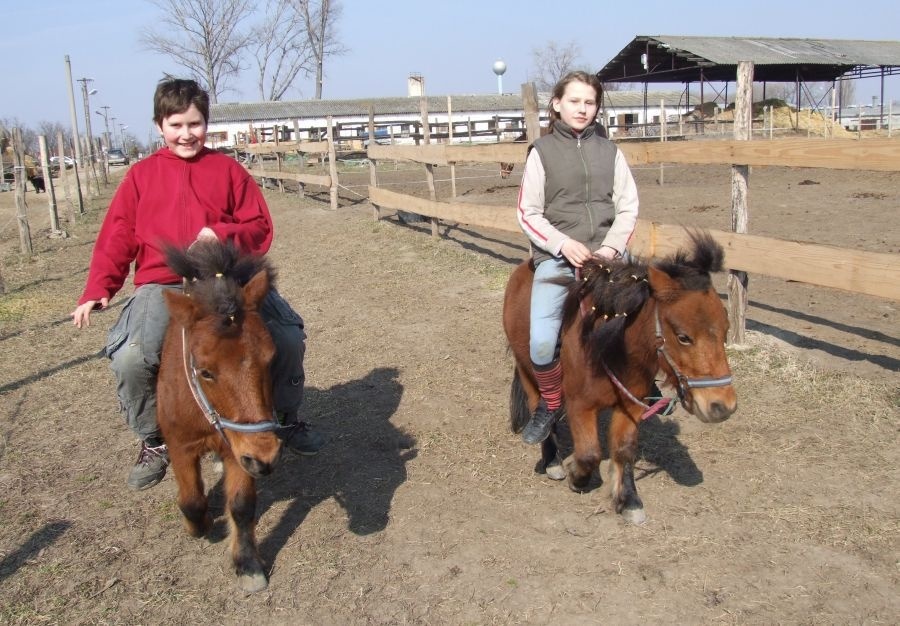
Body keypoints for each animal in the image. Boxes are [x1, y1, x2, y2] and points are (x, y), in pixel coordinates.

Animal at [158, 238, 284, 588]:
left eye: (272, 359)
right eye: (205, 371)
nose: (266, 457)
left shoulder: (239, 449)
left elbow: (241, 506)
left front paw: (248, 564)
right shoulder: (181, 446)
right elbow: (191, 501)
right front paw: (198, 527)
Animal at [502, 229, 736, 520]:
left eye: (726, 330)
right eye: (683, 337)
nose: (722, 406)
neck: (605, 346)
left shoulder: (631, 406)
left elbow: (624, 450)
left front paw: (629, 500)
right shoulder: (580, 406)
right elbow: (589, 453)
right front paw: (577, 477)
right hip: (528, 373)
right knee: (543, 410)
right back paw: (552, 460)